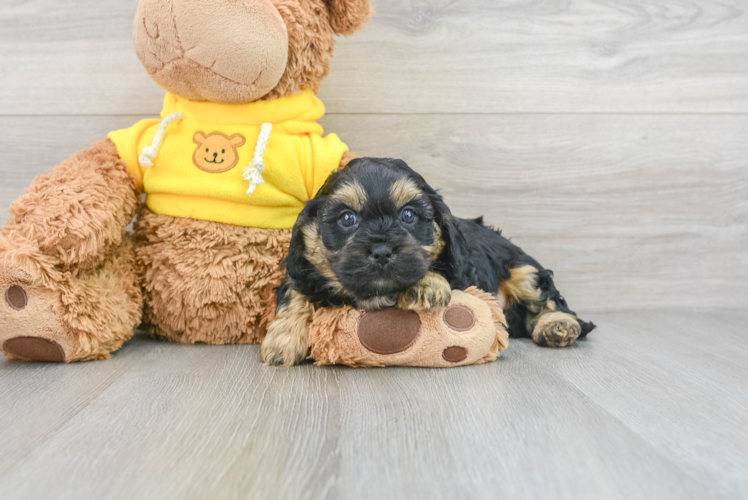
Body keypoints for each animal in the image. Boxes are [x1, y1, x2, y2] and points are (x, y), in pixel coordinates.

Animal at [262, 158, 596, 366]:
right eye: (347, 218)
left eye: (409, 215)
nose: (382, 250)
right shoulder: (301, 270)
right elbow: (295, 294)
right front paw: (284, 339)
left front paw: (426, 284)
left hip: (522, 269)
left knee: (548, 297)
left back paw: (557, 325)